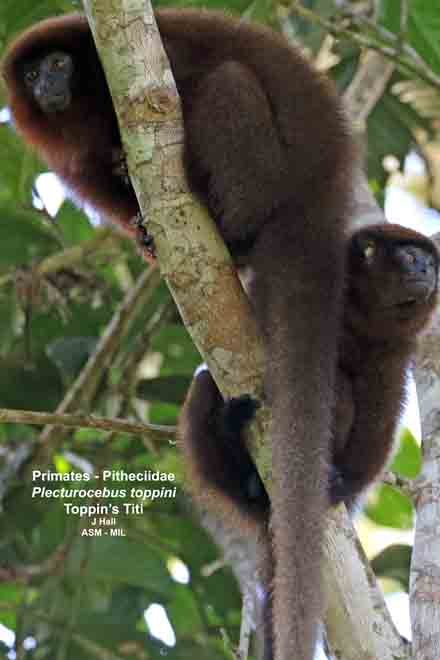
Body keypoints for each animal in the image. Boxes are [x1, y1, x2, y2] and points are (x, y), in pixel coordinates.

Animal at [2, 11, 357, 660]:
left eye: (60, 64)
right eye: (35, 75)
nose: (48, 86)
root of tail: (325, 186)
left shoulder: (157, 57)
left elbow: (190, 83)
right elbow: (90, 172)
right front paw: (133, 207)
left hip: (274, 172)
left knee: (229, 83)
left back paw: (231, 224)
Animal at [180, 223, 438, 658]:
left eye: (432, 262)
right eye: (409, 255)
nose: (428, 270)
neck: (358, 316)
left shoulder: (393, 351)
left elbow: (380, 417)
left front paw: (344, 486)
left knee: (342, 390)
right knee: (203, 385)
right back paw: (236, 453)